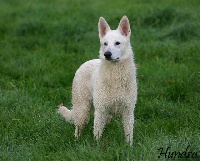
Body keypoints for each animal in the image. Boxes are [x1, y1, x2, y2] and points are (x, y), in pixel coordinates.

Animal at [57, 15, 137, 146]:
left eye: (117, 43)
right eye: (105, 43)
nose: (107, 54)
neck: (115, 75)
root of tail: (86, 62)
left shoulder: (128, 111)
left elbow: (129, 136)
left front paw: (129, 148)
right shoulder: (100, 111)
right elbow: (97, 135)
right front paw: (97, 147)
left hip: (105, 114)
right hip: (83, 109)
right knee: (78, 127)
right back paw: (76, 140)